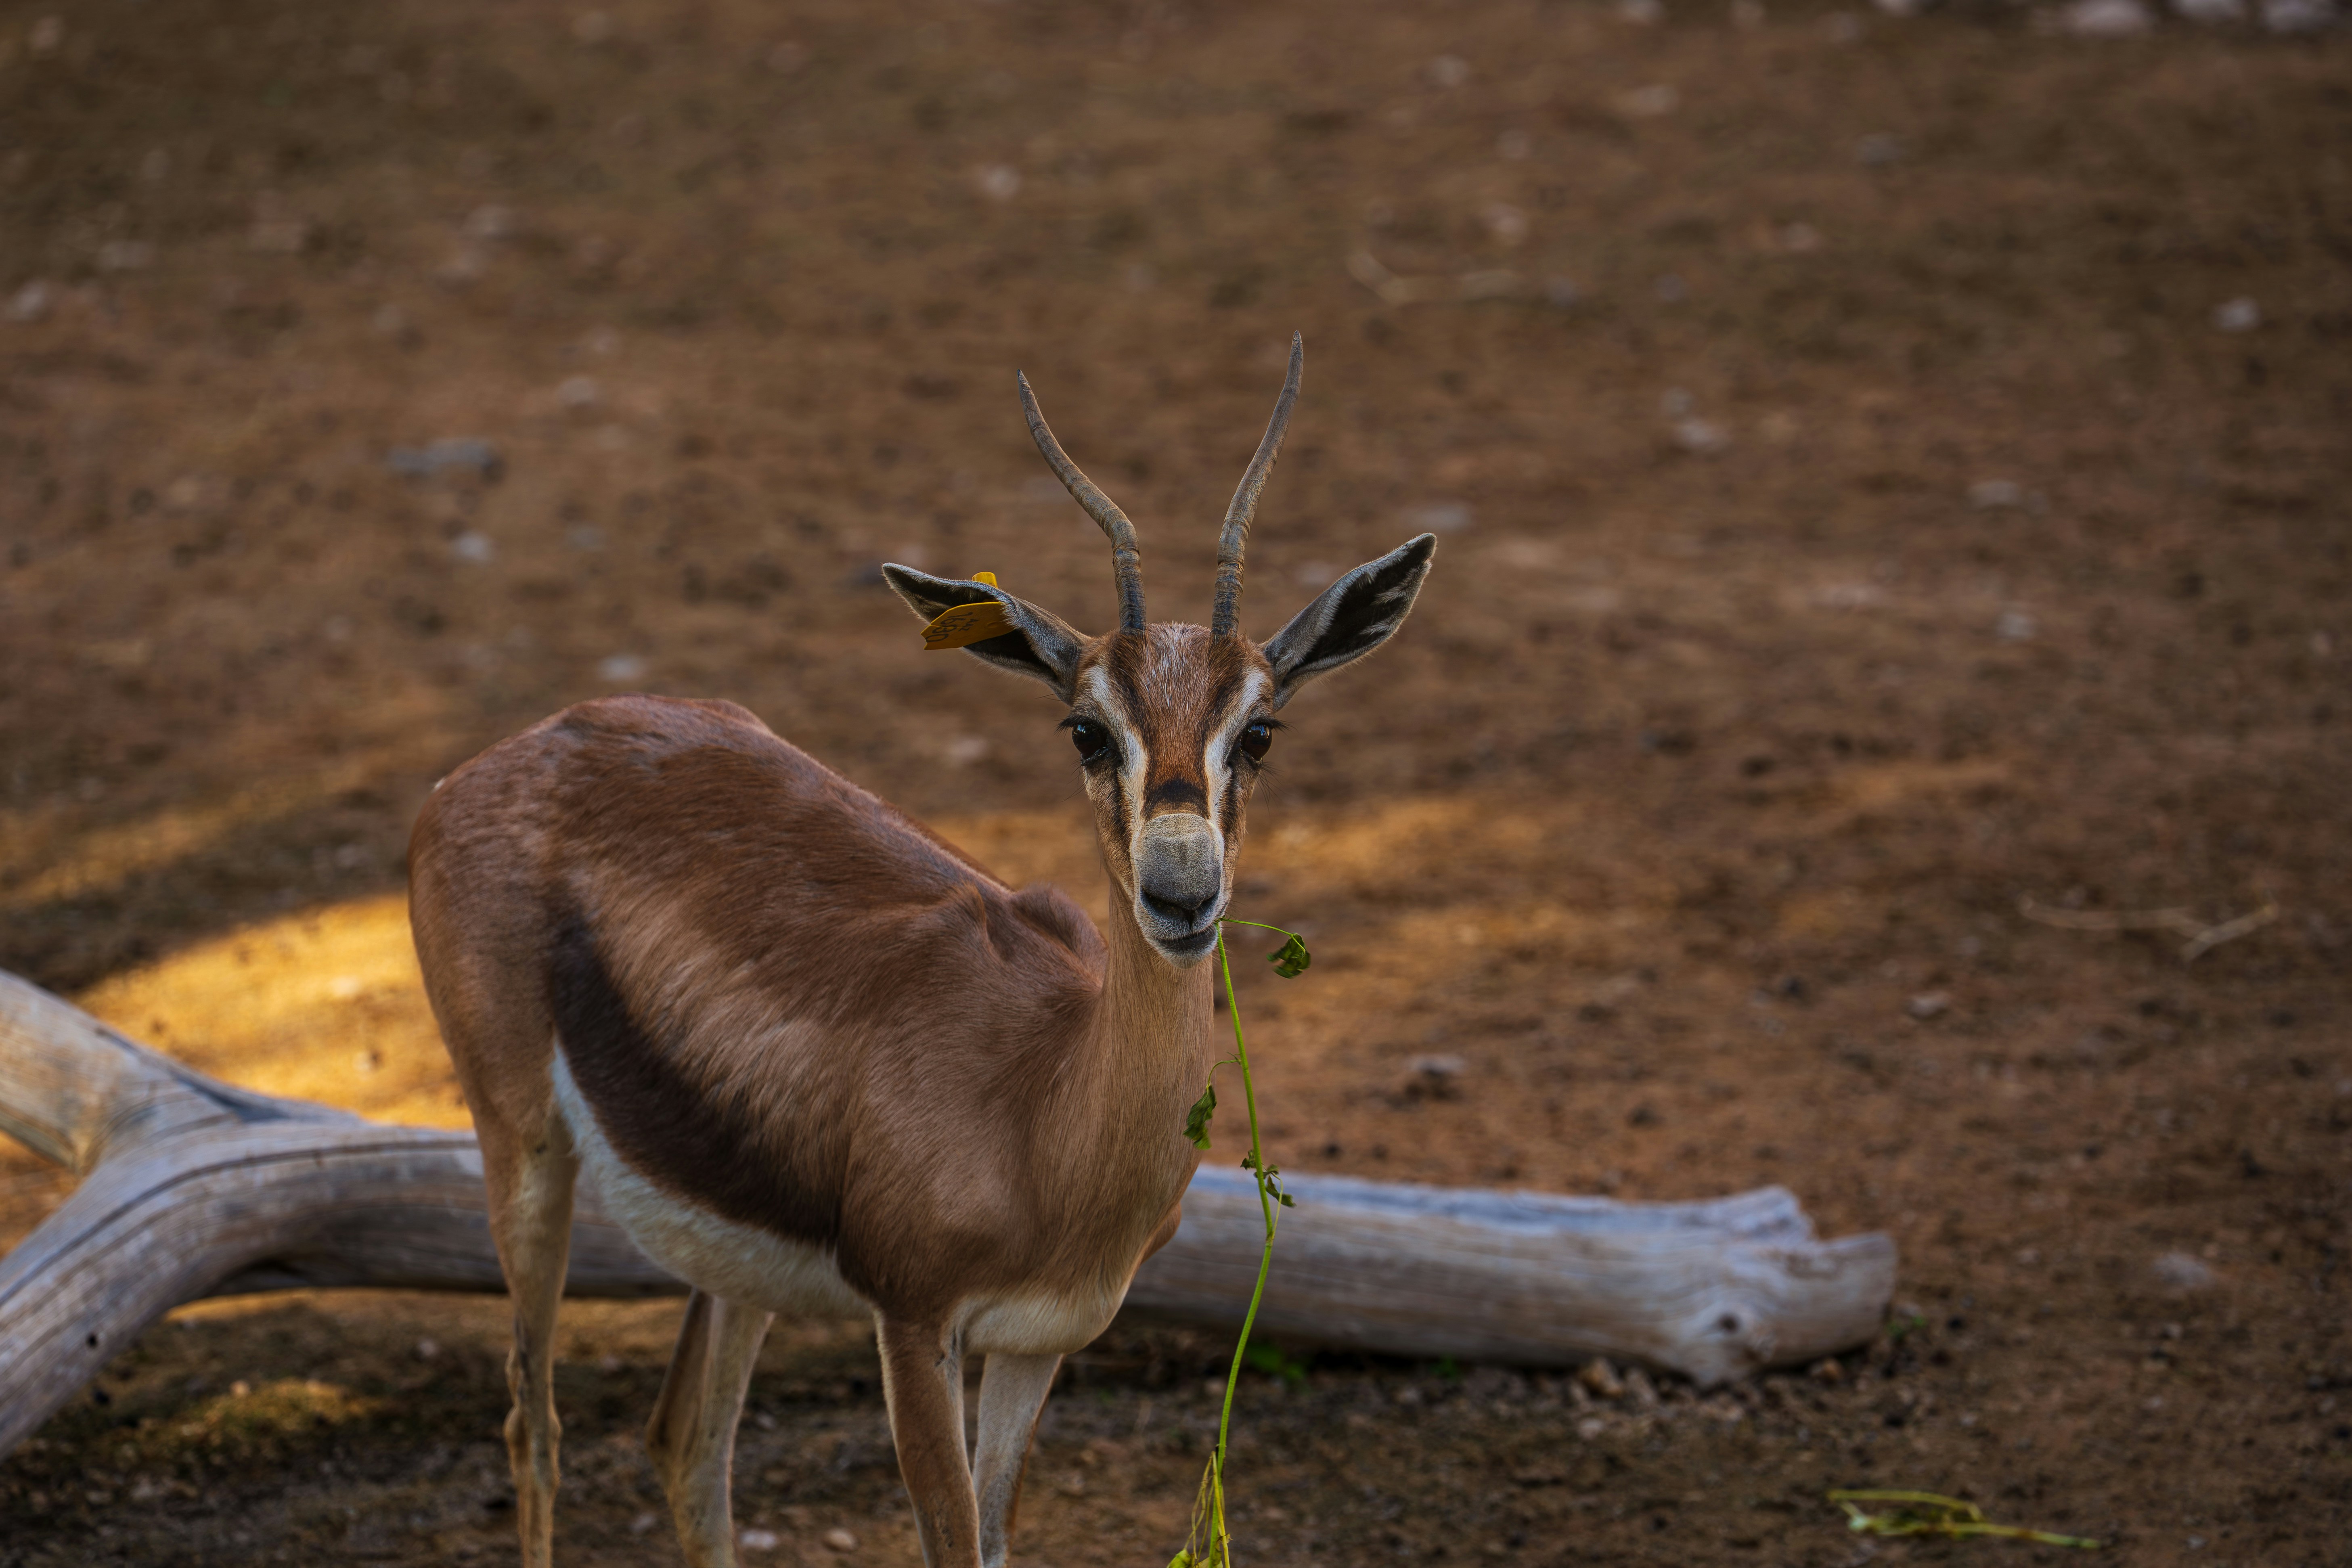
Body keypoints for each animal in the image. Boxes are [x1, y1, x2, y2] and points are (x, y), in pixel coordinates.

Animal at [407, 334, 1435, 1568]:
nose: (1180, 892)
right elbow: (949, 1543)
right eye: (1085, 730)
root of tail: (502, 759)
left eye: (1263, 730)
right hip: (522, 1149)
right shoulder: (912, 1323)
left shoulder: (1039, 1343)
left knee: (685, 1439)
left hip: (731, 1259)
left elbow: (992, 1538)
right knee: (536, 1424)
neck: (1040, 1115)